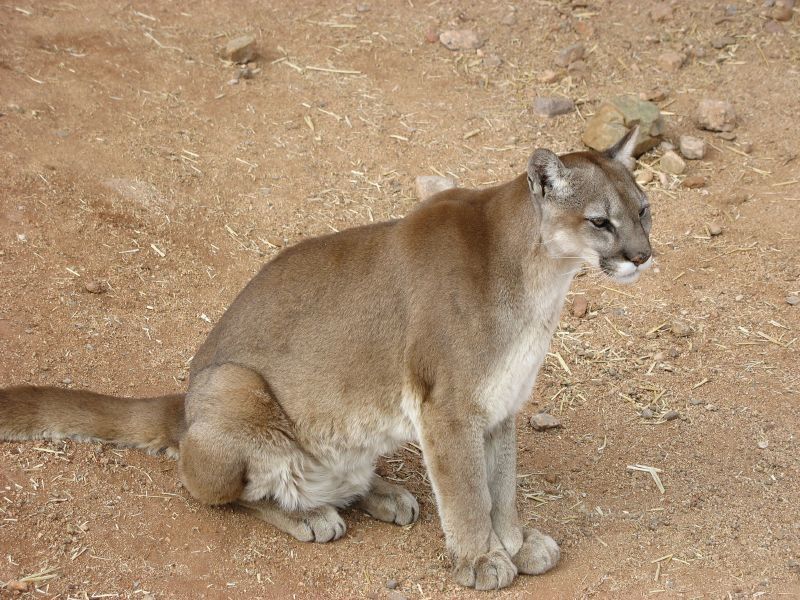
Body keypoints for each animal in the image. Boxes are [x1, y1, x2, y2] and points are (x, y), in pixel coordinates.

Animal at [0, 126, 648, 592]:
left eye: (644, 210)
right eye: (600, 221)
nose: (643, 256)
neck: (539, 277)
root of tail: (184, 399)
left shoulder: (499, 408)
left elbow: (501, 484)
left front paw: (512, 542)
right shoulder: (449, 409)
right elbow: (468, 492)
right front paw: (482, 559)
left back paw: (382, 494)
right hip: (235, 387)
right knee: (213, 486)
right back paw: (309, 515)